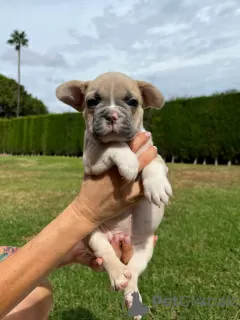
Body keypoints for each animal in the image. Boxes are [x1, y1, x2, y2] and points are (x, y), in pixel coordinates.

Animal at [56, 71, 172, 318]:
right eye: (92, 102)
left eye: (132, 102)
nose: (111, 114)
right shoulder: (91, 158)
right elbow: (113, 145)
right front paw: (129, 162)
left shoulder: (152, 151)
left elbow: (154, 165)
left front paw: (157, 186)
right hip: (93, 234)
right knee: (110, 256)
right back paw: (118, 275)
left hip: (145, 247)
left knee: (134, 273)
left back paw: (132, 299)